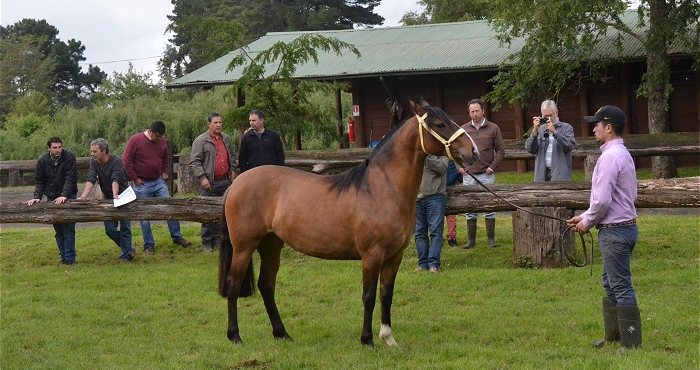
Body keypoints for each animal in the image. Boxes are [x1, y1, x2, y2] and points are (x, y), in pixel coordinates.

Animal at [221, 99, 478, 346]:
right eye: (440, 124)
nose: (473, 152)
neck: (381, 189)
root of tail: (237, 183)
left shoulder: (394, 257)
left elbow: (386, 295)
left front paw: (388, 338)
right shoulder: (372, 256)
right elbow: (369, 297)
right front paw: (368, 340)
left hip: (271, 244)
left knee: (266, 285)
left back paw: (282, 334)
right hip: (243, 247)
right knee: (233, 284)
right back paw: (235, 337)